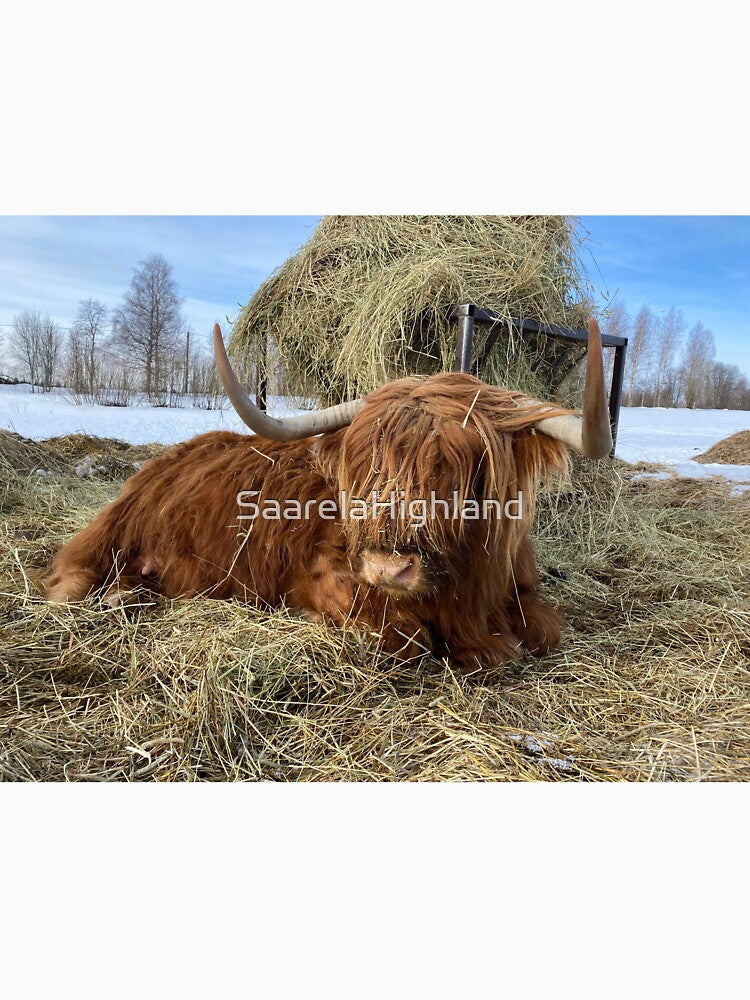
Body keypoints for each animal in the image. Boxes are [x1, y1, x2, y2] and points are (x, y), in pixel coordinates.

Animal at [42, 320, 612, 671]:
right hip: (110, 536)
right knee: (69, 578)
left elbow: (544, 629)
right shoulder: (326, 577)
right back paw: (113, 598)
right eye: (363, 467)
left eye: (459, 471)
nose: (388, 568)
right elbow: (404, 639)